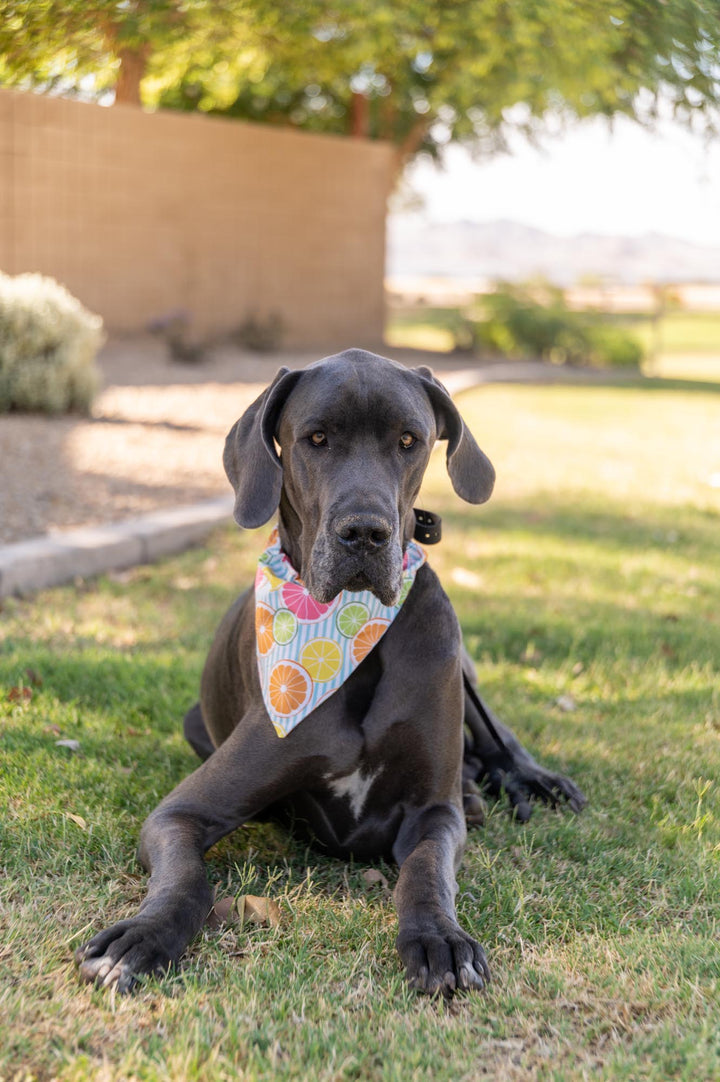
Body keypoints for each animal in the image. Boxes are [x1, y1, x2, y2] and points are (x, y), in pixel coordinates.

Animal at [74, 348, 584, 995]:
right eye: (315, 438)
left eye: (409, 440)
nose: (365, 532)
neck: (348, 626)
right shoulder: (180, 813)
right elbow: (186, 879)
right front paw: (141, 936)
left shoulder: (433, 812)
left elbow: (426, 872)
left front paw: (440, 938)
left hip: (460, 662)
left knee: (495, 735)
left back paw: (527, 780)